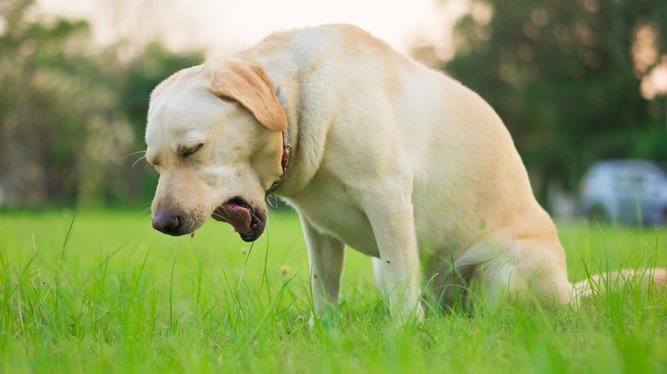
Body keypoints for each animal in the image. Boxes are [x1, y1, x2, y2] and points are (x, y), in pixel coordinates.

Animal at [145, 24, 664, 322]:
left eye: (192, 150)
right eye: (155, 162)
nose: (162, 224)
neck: (293, 99)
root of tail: (570, 293)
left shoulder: (387, 200)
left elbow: (399, 291)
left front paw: (399, 339)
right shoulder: (318, 230)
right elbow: (323, 287)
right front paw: (324, 333)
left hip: (503, 273)